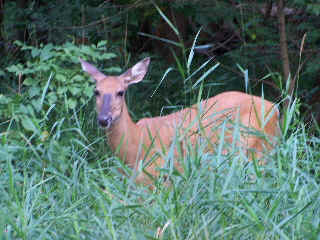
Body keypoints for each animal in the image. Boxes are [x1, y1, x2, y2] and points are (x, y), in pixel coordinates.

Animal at [80, 57, 280, 185]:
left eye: (120, 92)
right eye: (96, 91)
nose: (103, 119)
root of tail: (275, 109)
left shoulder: (160, 175)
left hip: (256, 149)